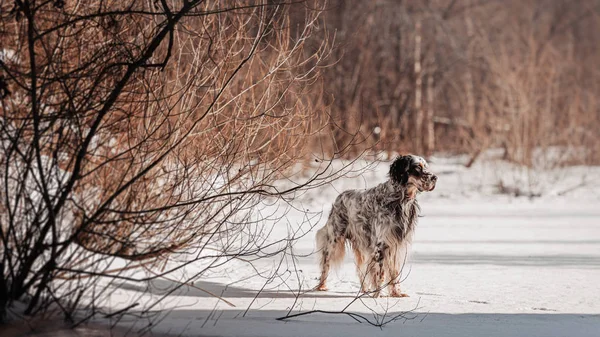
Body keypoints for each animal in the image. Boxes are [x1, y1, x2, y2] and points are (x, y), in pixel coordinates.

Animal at [314, 154, 436, 296]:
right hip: (334, 239)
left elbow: (394, 273)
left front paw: (396, 293)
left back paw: (365, 289)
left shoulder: (396, 245)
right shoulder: (381, 245)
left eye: (426, 167)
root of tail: (339, 197)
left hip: (360, 246)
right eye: (417, 168)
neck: (400, 200)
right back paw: (321, 286)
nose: (435, 178)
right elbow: (381, 273)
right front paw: (379, 295)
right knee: (326, 263)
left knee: (360, 270)